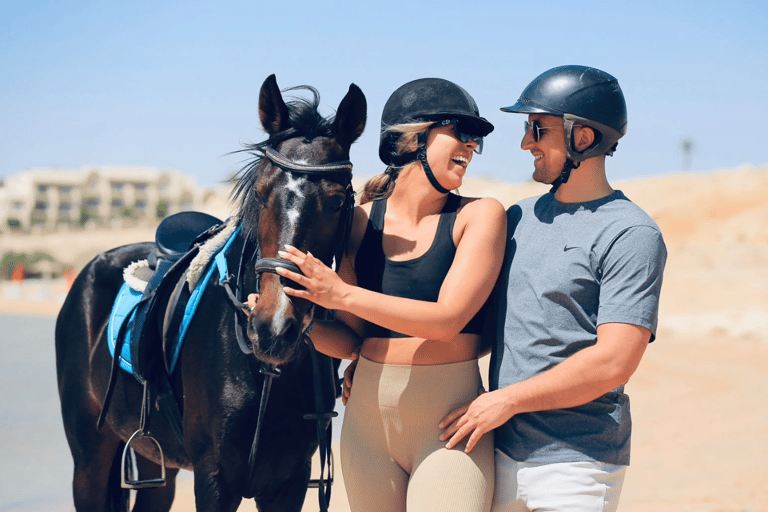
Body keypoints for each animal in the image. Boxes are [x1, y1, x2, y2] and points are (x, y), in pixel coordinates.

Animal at [54, 74, 366, 510]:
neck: (264, 371)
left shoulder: (288, 483)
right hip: (89, 461)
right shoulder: (214, 479)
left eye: (337, 202)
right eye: (260, 193)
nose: (273, 328)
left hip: (157, 465)